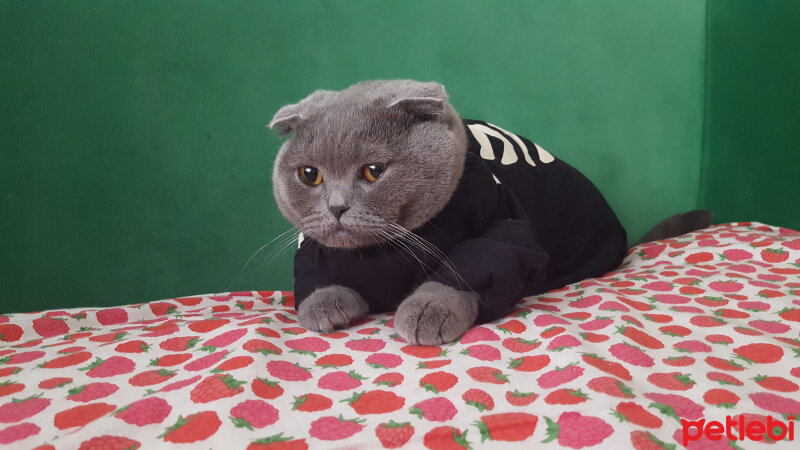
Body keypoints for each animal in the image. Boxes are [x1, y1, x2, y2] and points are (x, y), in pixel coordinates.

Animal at [270, 80, 712, 344]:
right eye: (309, 174)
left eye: (373, 171)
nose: (336, 207)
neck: (384, 256)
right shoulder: (313, 250)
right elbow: (314, 275)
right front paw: (324, 304)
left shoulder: (505, 225)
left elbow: (477, 262)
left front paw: (428, 310)